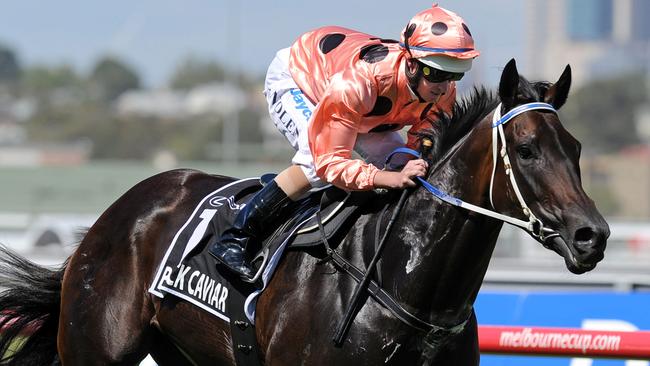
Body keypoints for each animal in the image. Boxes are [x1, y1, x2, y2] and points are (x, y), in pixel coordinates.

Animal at [1, 59, 608, 364]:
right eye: (526, 150)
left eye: (576, 148)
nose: (592, 236)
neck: (403, 284)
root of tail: (108, 219)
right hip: (95, 352)